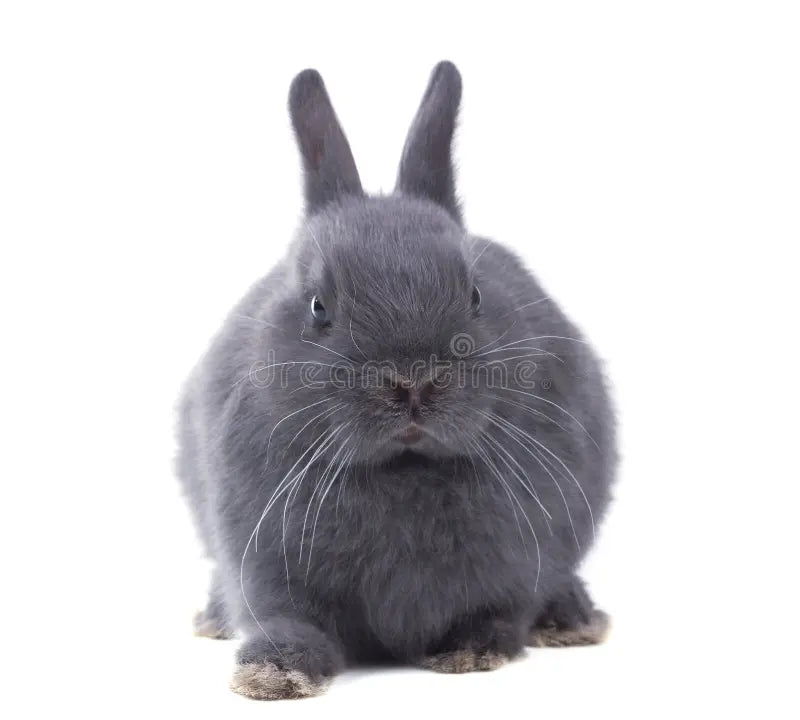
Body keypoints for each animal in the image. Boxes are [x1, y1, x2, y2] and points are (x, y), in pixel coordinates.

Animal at [176, 61, 617, 700]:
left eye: (475, 294)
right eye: (318, 306)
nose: (413, 383)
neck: (402, 469)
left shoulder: (517, 568)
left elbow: (498, 614)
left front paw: (469, 652)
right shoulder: (264, 569)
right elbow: (288, 622)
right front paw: (271, 675)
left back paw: (573, 618)